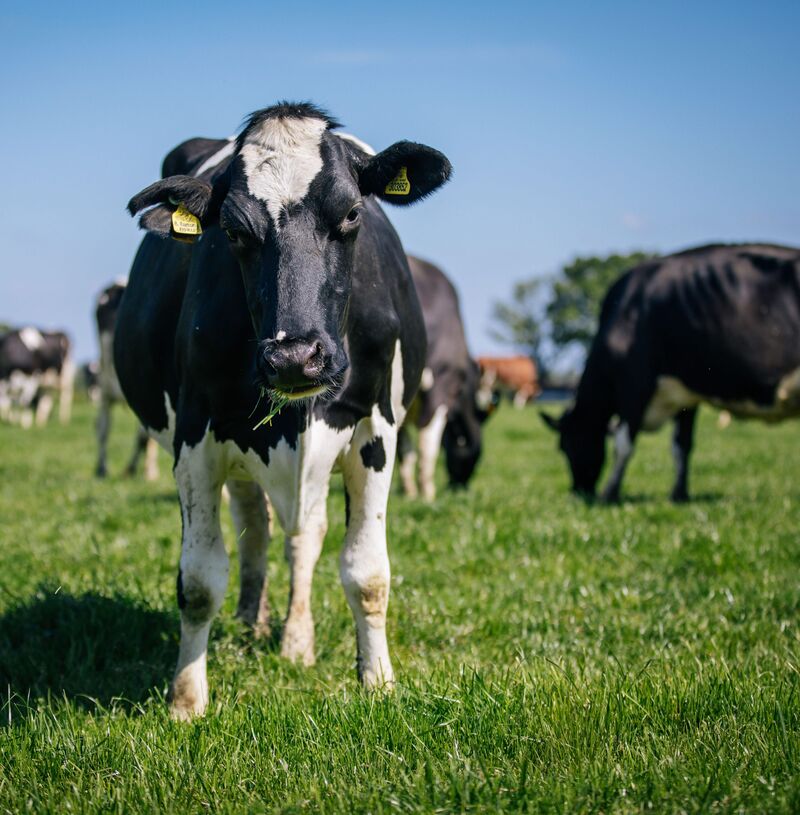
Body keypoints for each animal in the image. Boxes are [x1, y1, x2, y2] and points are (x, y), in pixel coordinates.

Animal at [117, 102, 452, 718]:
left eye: (352, 212)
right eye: (231, 230)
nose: (295, 357)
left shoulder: (377, 431)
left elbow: (368, 573)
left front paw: (378, 681)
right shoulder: (195, 439)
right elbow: (199, 581)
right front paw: (186, 699)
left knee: (302, 539)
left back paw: (295, 641)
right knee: (255, 528)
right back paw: (253, 620)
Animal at [397, 255, 489, 500]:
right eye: (474, 455)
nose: (459, 488)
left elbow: (404, 449)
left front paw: (409, 492)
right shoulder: (441, 382)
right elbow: (427, 442)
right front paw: (427, 494)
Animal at [540, 243, 800, 502]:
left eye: (566, 446)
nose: (578, 491)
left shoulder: (635, 385)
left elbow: (623, 444)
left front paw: (610, 492)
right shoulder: (685, 393)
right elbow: (681, 446)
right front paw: (679, 493)